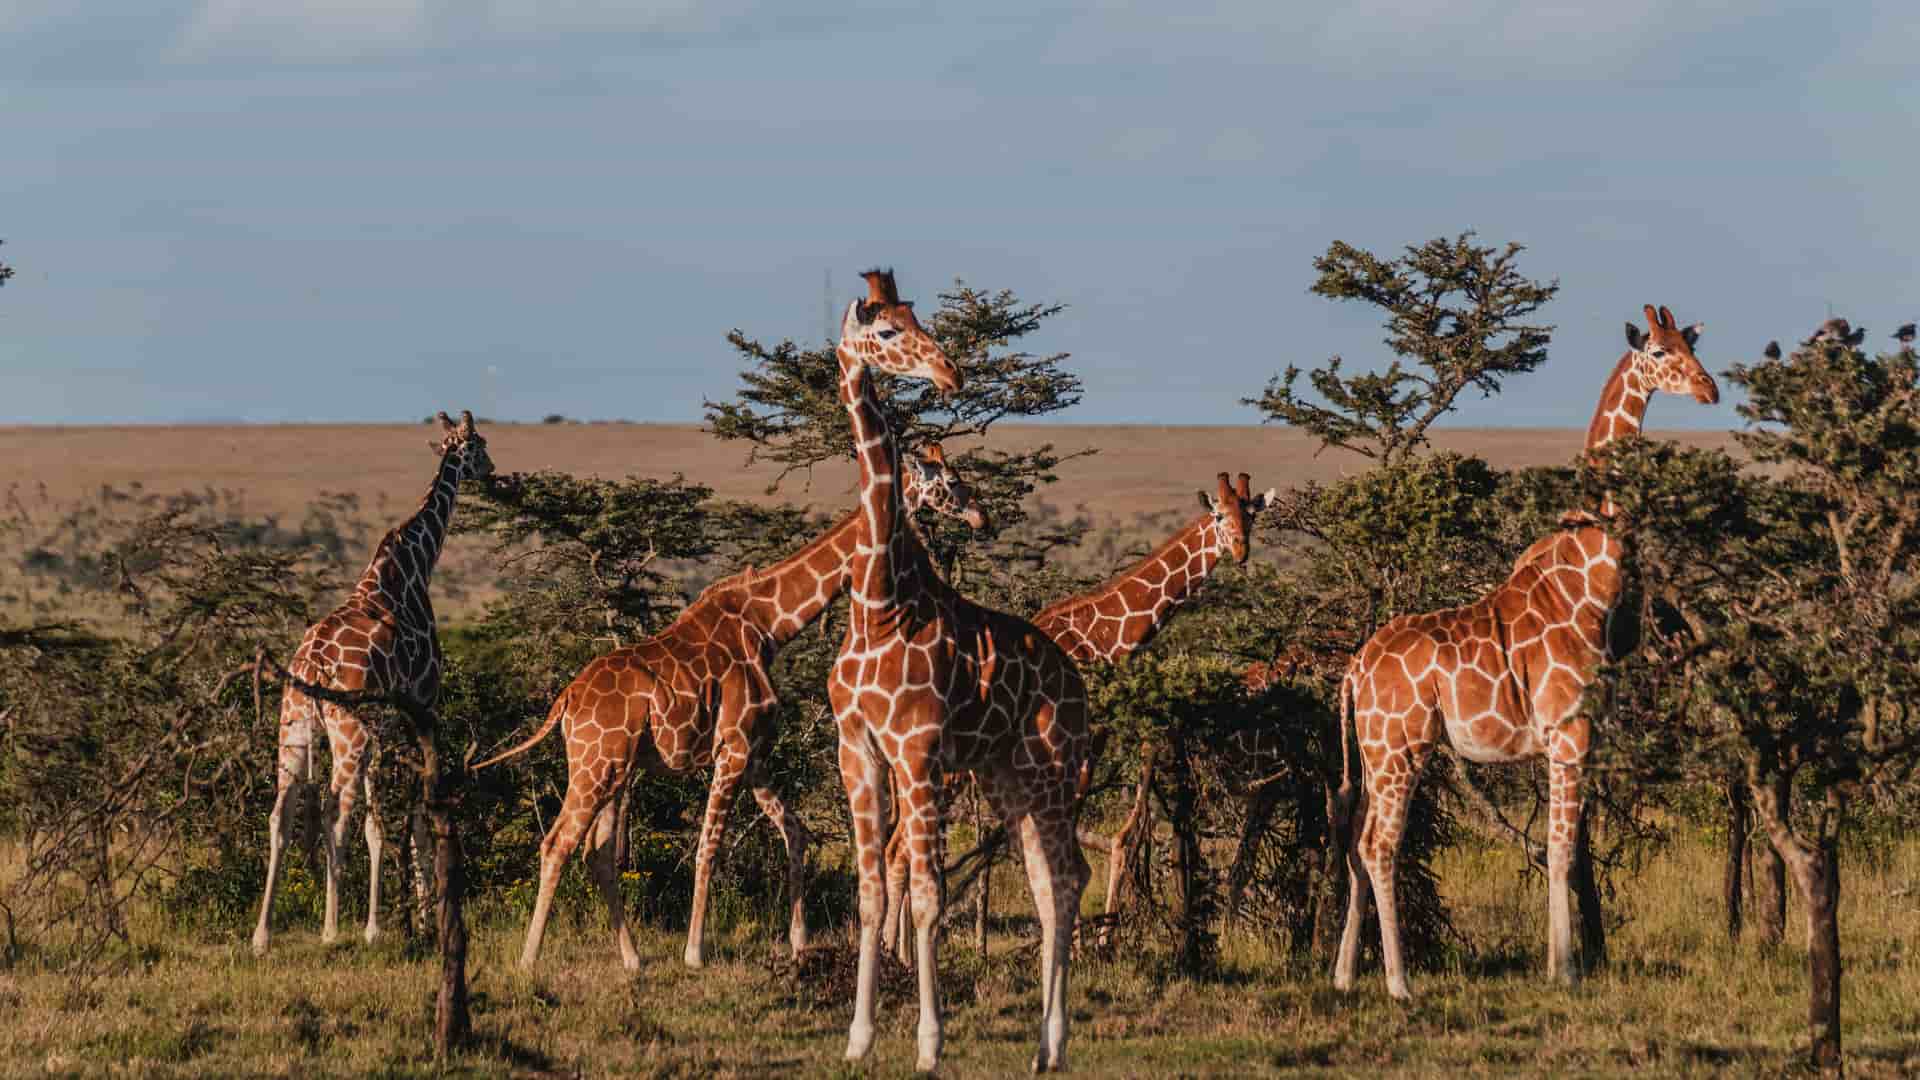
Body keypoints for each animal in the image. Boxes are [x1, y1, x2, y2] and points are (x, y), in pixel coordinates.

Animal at [252, 411, 494, 956]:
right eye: (482, 445)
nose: (492, 473)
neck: (413, 566)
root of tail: (312, 665)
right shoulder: (422, 703)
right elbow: (417, 811)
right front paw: (416, 919)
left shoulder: (388, 724)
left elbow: (382, 820)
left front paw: (404, 918)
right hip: (348, 732)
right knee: (334, 813)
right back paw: (332, 929)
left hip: (294, 727)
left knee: (281, 814)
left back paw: (261, 934)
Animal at [471, 442, 985, 972]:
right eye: (950, 479)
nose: (979, 515)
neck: (770, 624)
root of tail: (567, 699)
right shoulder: (731, 747)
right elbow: (709, 848)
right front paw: (695, 951)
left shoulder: (753, 751)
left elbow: (796, 832)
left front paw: (799, 942)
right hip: (596, 764)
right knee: (558, 842)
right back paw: (529, 959)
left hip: (617, 768)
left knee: (597, 852)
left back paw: (632, 958)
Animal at [832, 269, 1092, 1072]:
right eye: (887, 331)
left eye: (920, 319)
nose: (951, 372)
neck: (879, 605)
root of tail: (1076, 680)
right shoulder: (857, 751)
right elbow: (869, 893)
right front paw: (857, 1040)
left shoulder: (918, 755)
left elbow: (926, 897)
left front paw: (929, 1044)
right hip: (1004, 775)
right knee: (1045, 880)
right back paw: (1044, 1046)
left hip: (1050, 768)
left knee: (1068, 877)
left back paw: (1053, 1045)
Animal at [880, 471, 1273, 957]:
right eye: (1219, 516)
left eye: (1251, 515)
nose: (1240, 549)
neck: (1101, 636)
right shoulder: (1078, 744)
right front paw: (1083, 943)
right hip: (941, 774)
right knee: (900, 850)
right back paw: (898, 956)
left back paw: (901, 952)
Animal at [1335, 304, 1717, 999]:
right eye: (1657, 350)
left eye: (1693, 345)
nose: (1709, 389)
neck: (1588, 584)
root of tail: (1353, 669)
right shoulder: (1571, 732)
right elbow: (1561, 851)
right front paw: (1564, 970)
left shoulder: (1574, 738)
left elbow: (1563, 850)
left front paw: (1562, 963)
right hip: (1402, 748)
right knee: (1379, 846)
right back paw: (1400, 984)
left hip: (1375, 754)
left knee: (1354, 840)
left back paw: (1347, 975)